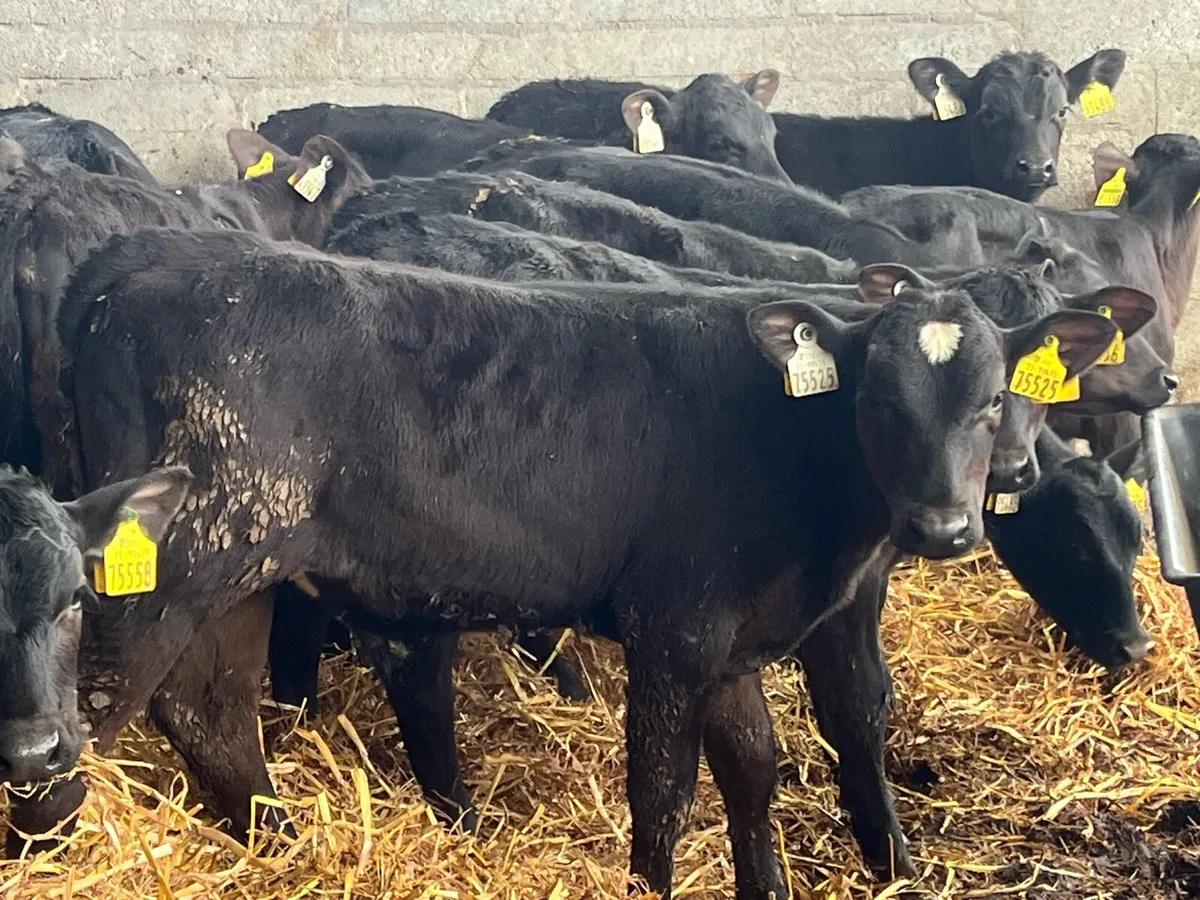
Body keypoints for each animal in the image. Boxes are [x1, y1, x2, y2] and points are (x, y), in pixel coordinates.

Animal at [6, 226, 1114, 897]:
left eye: (994, 400)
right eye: (879, 399)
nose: (945, 526)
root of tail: (146, 253)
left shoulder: (734, 637)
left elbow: (753, 770)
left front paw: (765, 884)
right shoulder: (675, 628)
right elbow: (664, 788)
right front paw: (652, 885)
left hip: (243, 574)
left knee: (213, 709)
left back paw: (282, 845)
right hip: (161, 569)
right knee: (94, 707)